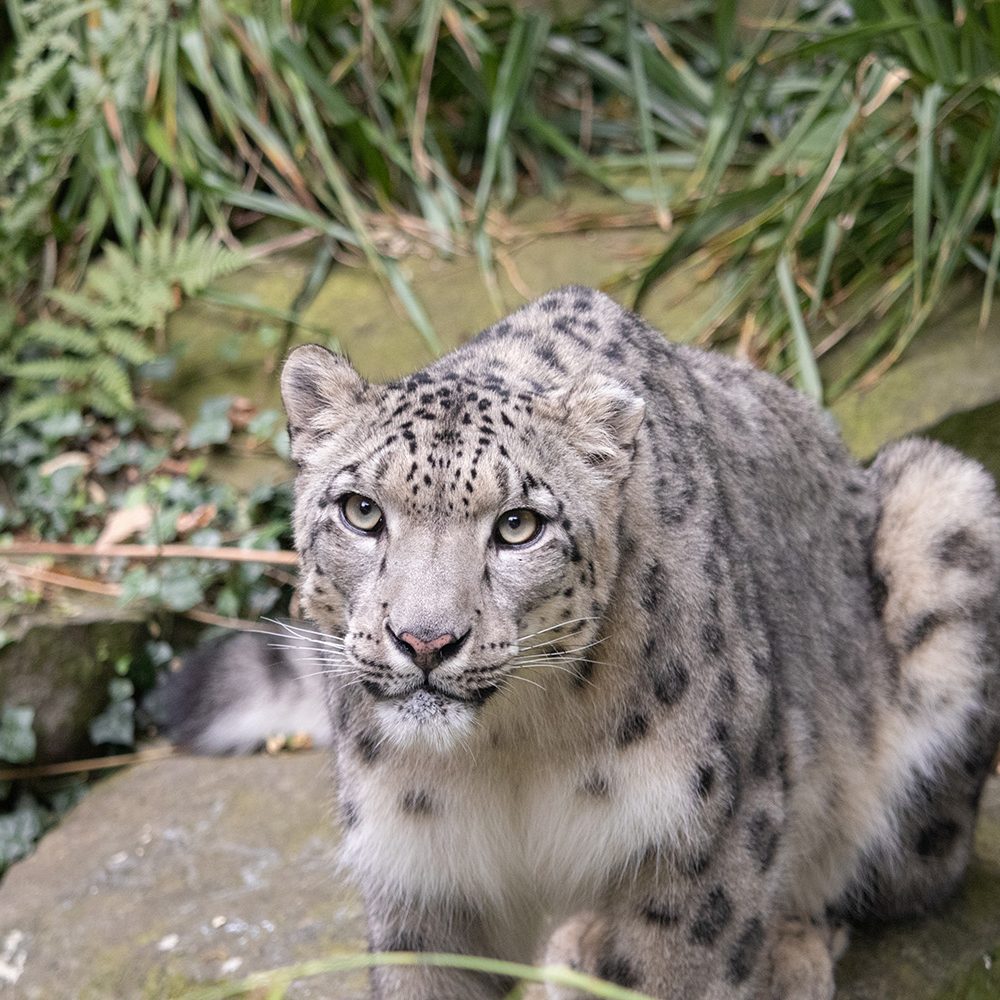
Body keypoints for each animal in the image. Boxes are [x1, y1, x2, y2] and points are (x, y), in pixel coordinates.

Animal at [172, 286, 1000, 996]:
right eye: (362, 511)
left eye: (518, 525)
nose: (425, 640)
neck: (507, 750)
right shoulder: (415, 862)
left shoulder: (707, 833)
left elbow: (682, 970)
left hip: (946, 507)